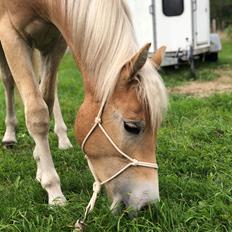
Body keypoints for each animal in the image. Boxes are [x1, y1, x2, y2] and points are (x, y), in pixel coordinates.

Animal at [0, 0, 167, 228]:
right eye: (131, 126)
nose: (147, 206)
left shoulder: (57, 41)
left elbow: (46, 100)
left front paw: (41, 167)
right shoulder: (10, 34)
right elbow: (36, 113)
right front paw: (54, 192)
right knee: (8, 82)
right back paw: (9, 135)